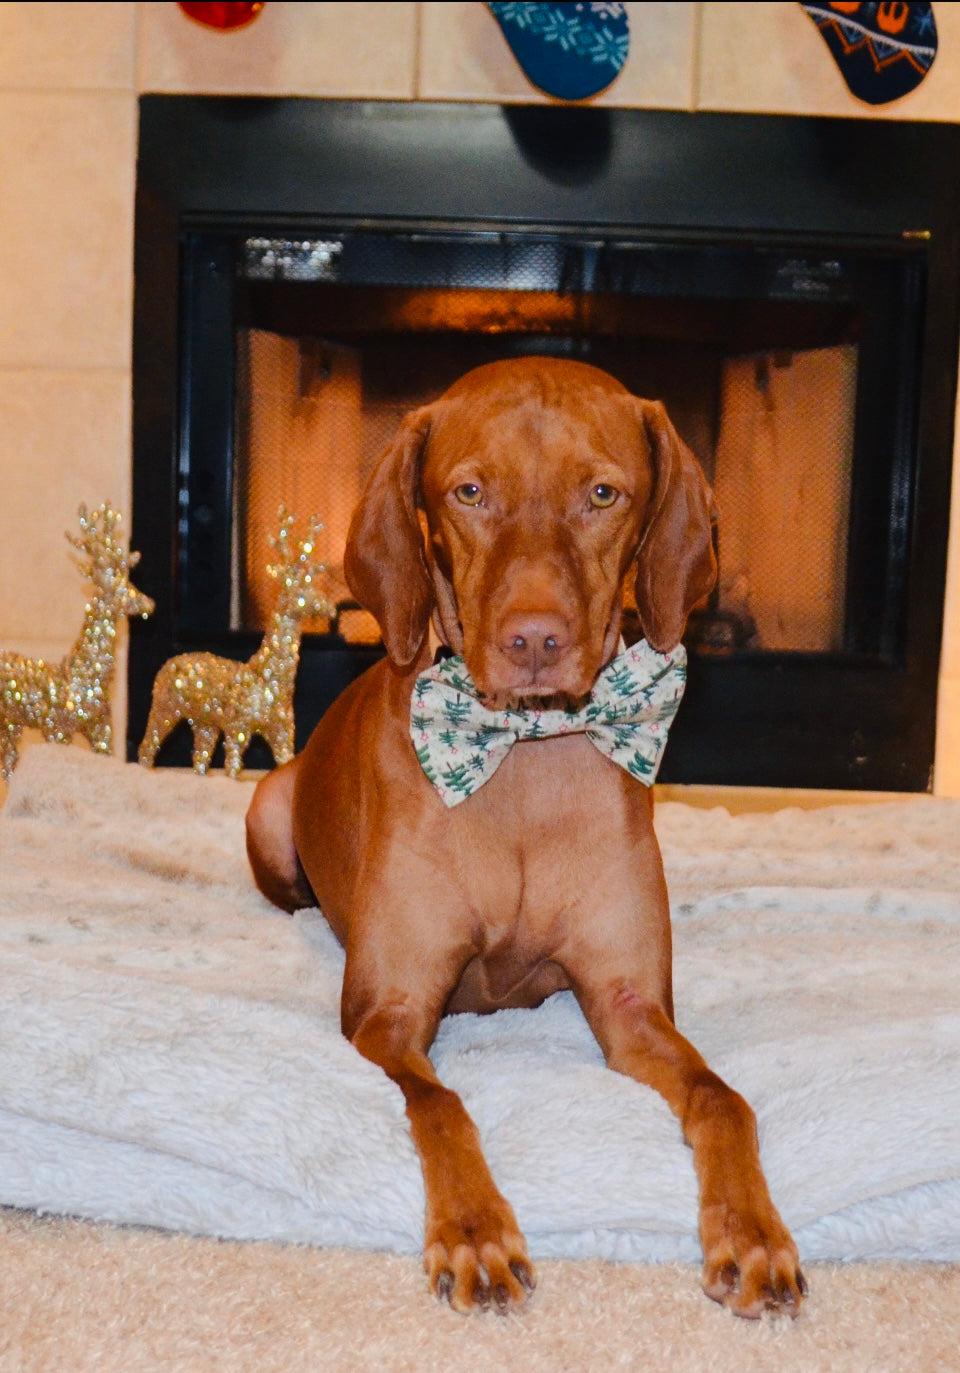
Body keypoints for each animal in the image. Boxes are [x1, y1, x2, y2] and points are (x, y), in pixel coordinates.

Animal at [245, 356, 802, 1318]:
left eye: (602, 493)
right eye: (469, 491)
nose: (534, 638)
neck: (525, 760)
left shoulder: (629, 1006)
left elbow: (723, 1097)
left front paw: (753, 1231)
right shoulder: (388, 1014)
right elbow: (443, 1105)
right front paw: (474, 1231)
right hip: (267, 808)